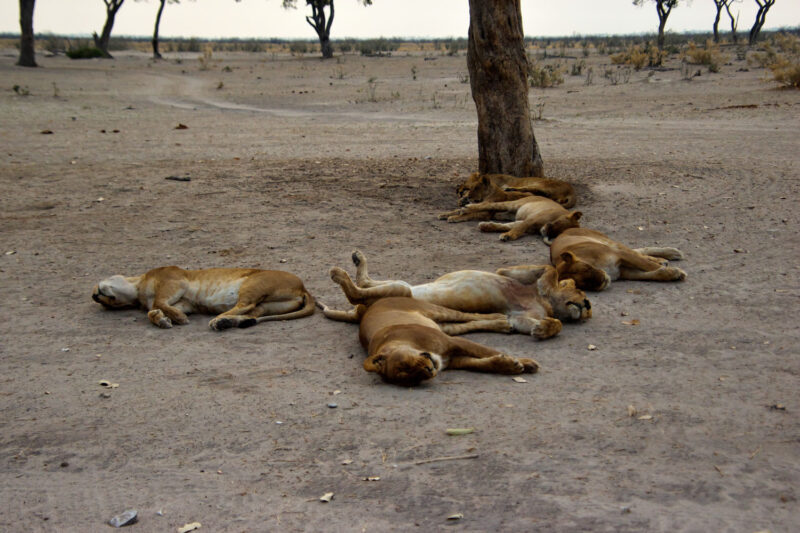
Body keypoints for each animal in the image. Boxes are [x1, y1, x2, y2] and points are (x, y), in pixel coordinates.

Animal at [94, 266, 316, 328]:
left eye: (110, 301)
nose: (95, 296)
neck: (138, 289)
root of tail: (303, 287)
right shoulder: (184, 302)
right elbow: (154, 310)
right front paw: (162, 319)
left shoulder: (174, 280)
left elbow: (158, 301)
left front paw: (176, 318)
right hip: (270, 305)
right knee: (252, 311)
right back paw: (225, 322)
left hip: (255, 282)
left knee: (245, 305)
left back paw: (218, 319)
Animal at [318, 296, 536, 386]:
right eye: (412, 379)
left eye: (406, 364)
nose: (429, 371)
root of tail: (375, 302)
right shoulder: (456, 359)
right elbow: (484, 363)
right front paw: (511, 365)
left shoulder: (453, 342)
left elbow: (486, 350)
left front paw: (525, 362)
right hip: (445, 325)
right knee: (469, 323)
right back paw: (501, 323)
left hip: (436, 311)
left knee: (467, 315)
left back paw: (500, 319)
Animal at [322, 250, 592, 340]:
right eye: (581, 290)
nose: (587, 305)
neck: (543, 299)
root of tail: (361, 314)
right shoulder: (508, 274)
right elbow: (550, 268)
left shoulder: (518, 316)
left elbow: (548, 322)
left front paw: (543, 329)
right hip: (404, 287)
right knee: (363, 284)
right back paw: (354, 263)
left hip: (402, 291)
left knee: (357, 293)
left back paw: (340, 274)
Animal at [438, 194, 580, 242]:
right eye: (554, 224)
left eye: (557, 234)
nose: (544, 231)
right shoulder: (532, 220)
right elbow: (518, 229)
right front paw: (507, 236)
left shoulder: (525, 222)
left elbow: (508, 226)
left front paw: (486, 226)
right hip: (513, 204)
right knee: (487, 204)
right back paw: (465, 208)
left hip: (508, 212)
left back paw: (451, 214)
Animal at [552, 225, 688, 288]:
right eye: (581, 284)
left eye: (586, 268)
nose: (603, 280)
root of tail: (565, 230)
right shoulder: (623, 271)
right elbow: (652, 274)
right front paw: (672, 274)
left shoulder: (619, 254)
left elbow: (648, 265)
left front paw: (678, 272)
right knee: (638, 252)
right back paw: (664, 260)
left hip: (610, 243)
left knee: (638, 251)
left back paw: (671, 253)